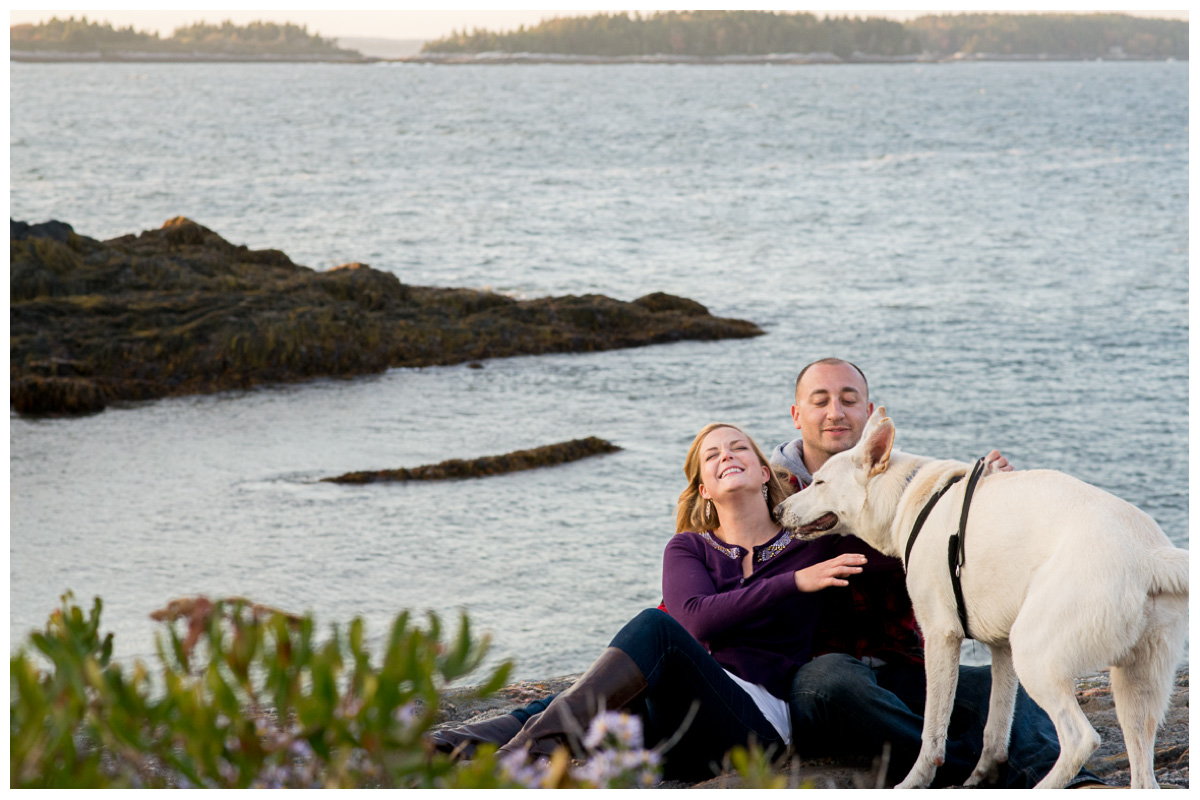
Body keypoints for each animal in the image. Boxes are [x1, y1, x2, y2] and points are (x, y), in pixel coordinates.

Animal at [772, 407, 1185, 786]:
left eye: (819, 482)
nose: (776, 510)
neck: (909, 495)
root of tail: (1147, 555)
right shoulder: (1001, 649)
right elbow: (996, 728)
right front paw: (981, 776)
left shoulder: (941, 637)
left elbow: (933, 732)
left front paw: (915, 781)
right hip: (1134, 689)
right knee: (1143, 772)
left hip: (1036, 656)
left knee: (1080, 739)